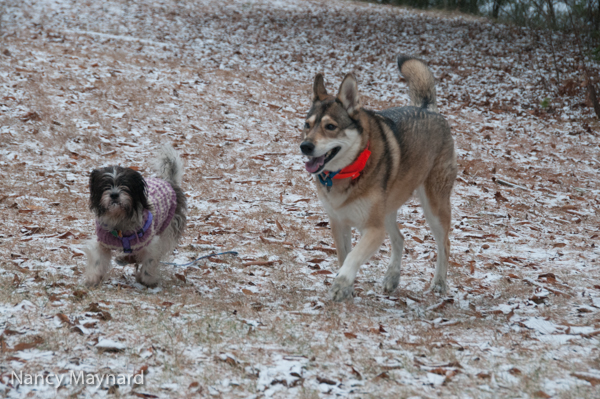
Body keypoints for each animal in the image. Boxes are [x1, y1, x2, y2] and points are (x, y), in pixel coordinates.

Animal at [82, 146, 185, 288]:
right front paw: (93, 278)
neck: (119, 221)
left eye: (124, 185)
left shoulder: (152, 243)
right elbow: (98, 260)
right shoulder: (102, 243)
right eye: (105, 185)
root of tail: (168, 182)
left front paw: (148, 279)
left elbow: (150, 261)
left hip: (168, 230)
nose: (114, 195)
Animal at [300, 54, 460, 302]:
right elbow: (344, 256)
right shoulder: (339, 223)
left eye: (330, 126)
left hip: (434, 209)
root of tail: (428, 109)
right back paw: (392, 277)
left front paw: (340, 284)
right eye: (307, 125)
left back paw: (439, 284)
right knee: (400, 238)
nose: (305, 146)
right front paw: (347, 289)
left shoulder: (374, 230)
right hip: (387, 211)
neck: (350, 170)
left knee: (445, 244)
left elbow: (352, 257)